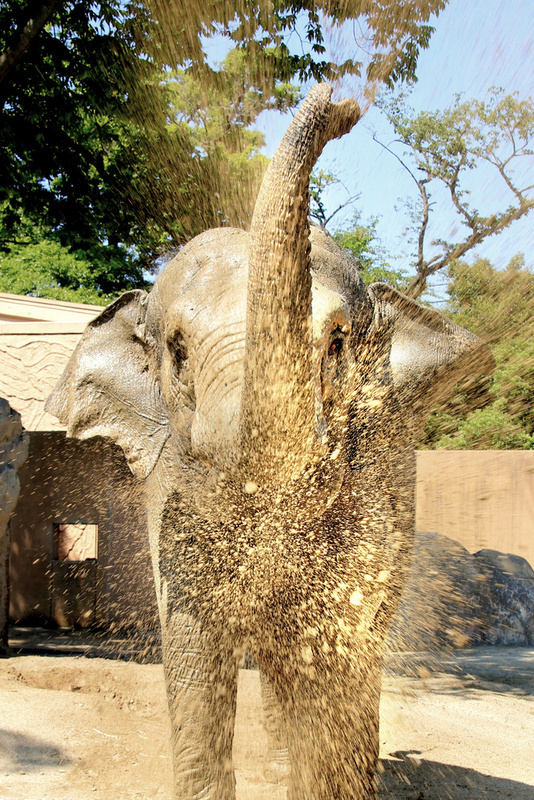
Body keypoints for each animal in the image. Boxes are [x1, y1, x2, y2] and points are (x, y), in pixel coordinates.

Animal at [46, 84, 494, 796]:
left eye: (337, 342)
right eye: (177, 352)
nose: (340, 100)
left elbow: (337, 633)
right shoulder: (172, 493)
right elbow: (193, 639)